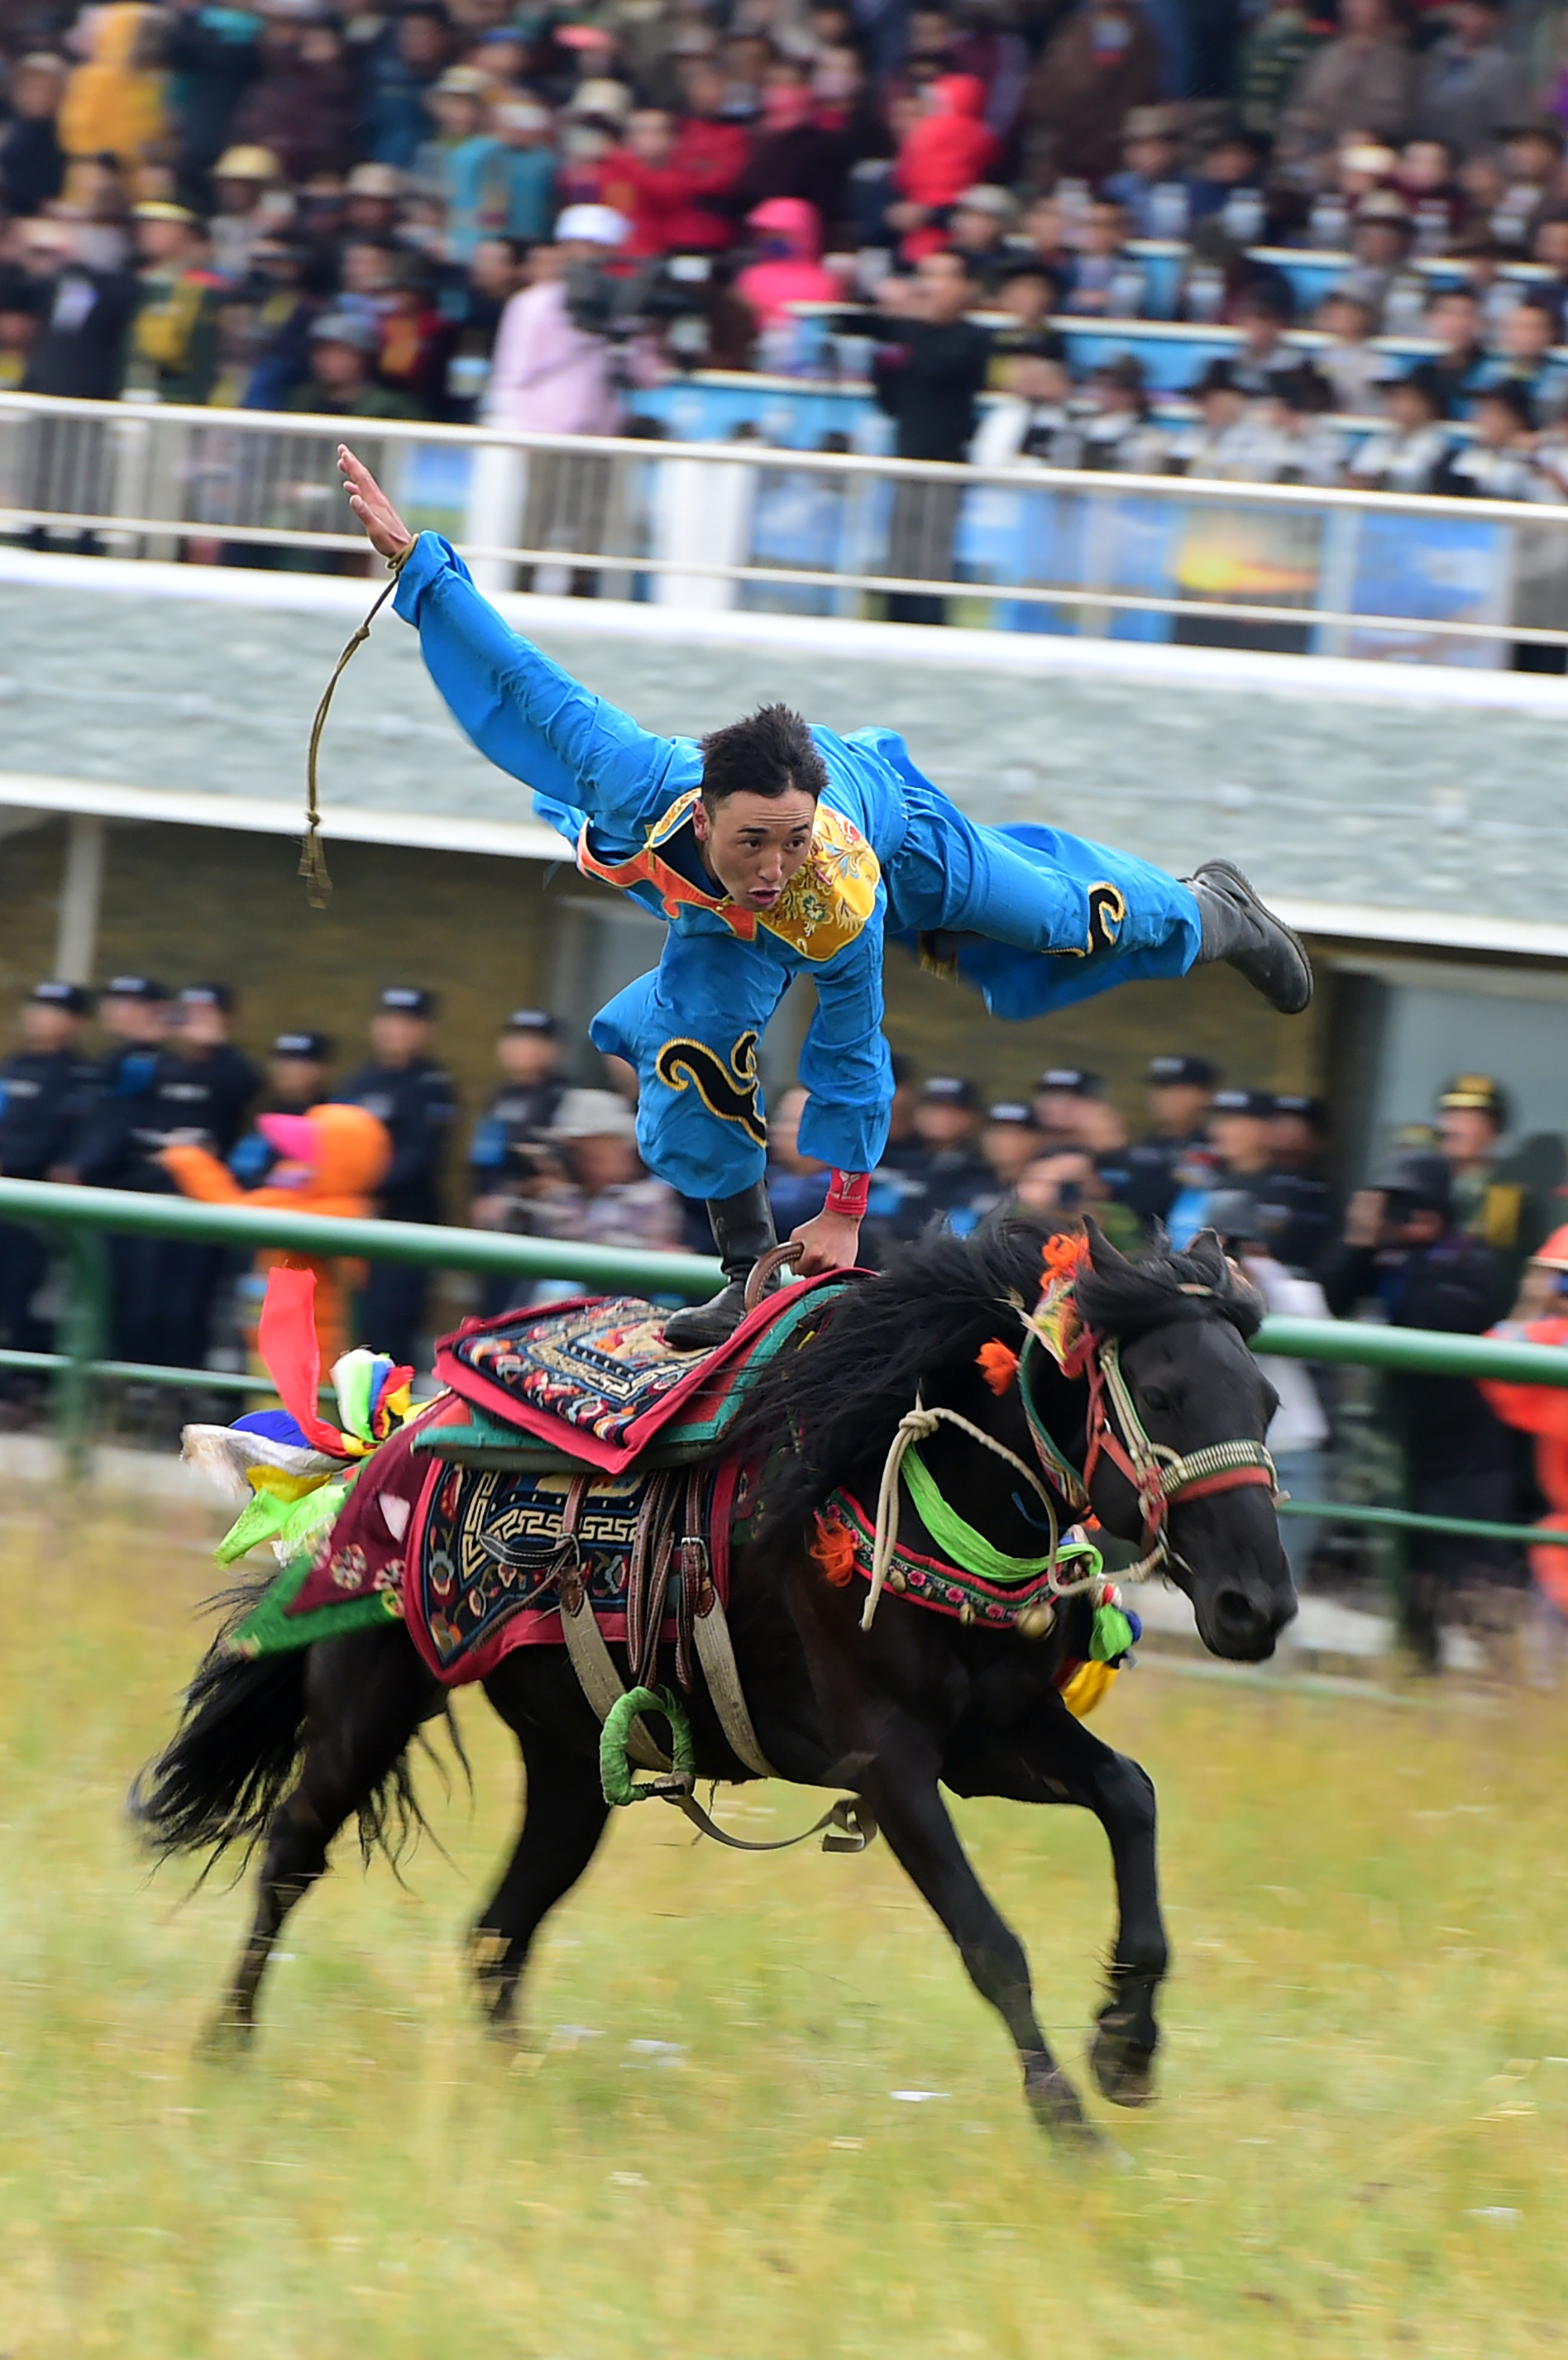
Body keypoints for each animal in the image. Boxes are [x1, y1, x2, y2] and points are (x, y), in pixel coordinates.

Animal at [133, 1218, 1295, 2144]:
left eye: (1268, 1399)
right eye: (1161, 1393)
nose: (1259, 1605)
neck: (903, 1465)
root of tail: (383, 1443)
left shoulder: (994, 1736)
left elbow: (1130, 1797)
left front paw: (1126, 2046)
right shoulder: (890, 1761)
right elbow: (991, 1941)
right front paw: (1067, 2121)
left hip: (571, 1759)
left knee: (499, 1929)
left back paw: (519, 2086)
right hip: (371, 1697)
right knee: (294, 1850)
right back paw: (227, 2044)